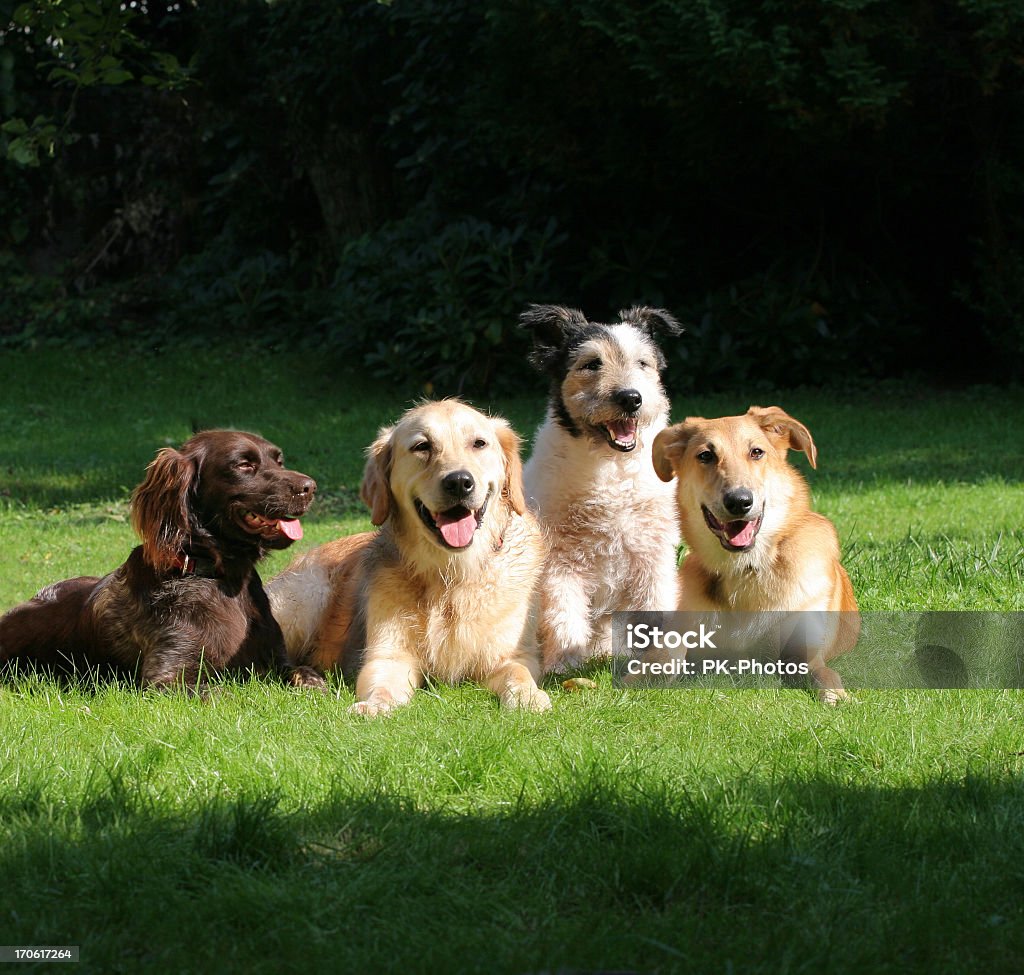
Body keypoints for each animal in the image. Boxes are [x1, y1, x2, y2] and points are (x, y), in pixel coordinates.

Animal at [266, 401, 552, 716]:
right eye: (422, 446)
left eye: (479, 443)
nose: (459, 482)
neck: (451, 574)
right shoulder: (387, 655)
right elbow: (382, 684)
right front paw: (374, 706)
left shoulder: (512, 654)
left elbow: (518, 673)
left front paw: (529, 697)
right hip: (308, 595)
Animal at [524, 303, 684, 671]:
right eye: (591, 363)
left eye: (643, 363)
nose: (631, 398)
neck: (613, 471)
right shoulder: (560, 561)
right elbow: (564, 615)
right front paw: (565, 663)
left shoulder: (653, 556)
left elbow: (654, 610)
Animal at [651, 407, 860, 704]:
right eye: (706, 455)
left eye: (756, 452)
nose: (739, 501)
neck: (747, 568)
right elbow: (667, 652)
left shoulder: (805, 649)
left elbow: (823, 672)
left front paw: (835, 695)